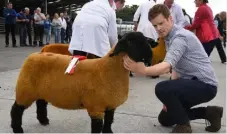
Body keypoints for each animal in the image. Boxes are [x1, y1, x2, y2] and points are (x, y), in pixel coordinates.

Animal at [9, 31, 157, 133]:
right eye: (131, 42)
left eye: (146, 41)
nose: (150, 56)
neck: (108, 69)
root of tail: (35, 55)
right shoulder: (96, 107)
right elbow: (97, 127)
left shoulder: (110, 105)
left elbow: (109, 122)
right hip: (25, 89)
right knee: (16, 110)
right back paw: (17, 129)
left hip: (41, 90)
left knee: (40, 104)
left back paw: (44, 121)